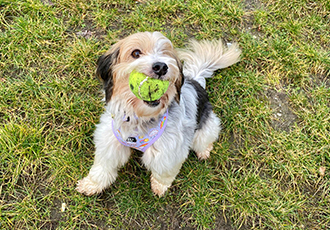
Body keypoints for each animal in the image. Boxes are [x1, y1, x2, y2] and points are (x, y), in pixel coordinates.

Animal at [75, 31, 240, 197]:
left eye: (165, 53)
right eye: (136, 53)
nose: (161, 66)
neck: (140, 118)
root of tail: (197, 80)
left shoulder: (169, 152)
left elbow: (164, 173)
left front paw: (159, 187)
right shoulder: (110, 140)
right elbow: (103, 166)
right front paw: (91, 184)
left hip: (206, 128)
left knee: (205, 140)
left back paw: (204, 151)